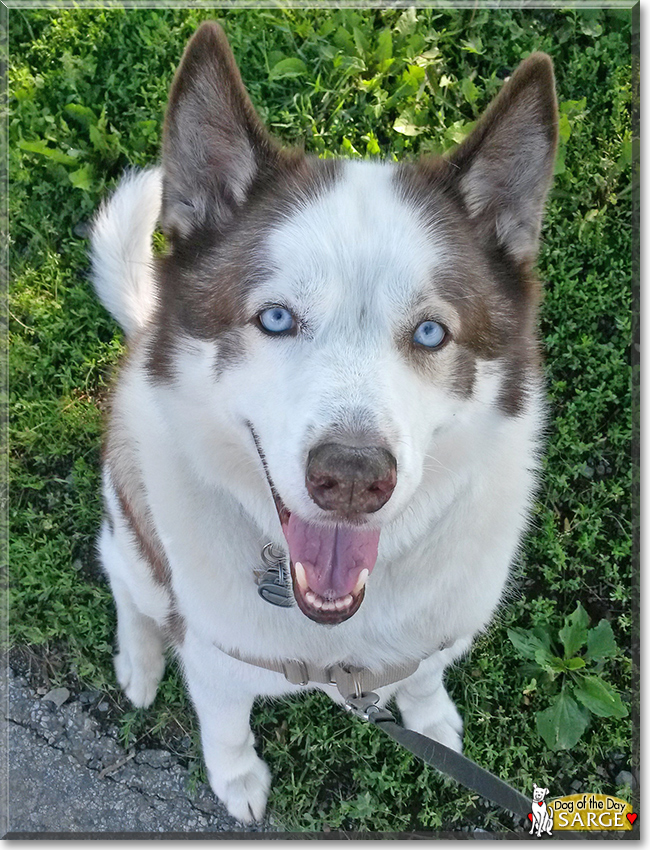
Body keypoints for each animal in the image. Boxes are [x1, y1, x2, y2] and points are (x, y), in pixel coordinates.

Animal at [90, 23, 556, 820]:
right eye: (276, 318)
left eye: (430, 333)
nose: (353, 475)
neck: (335, 639)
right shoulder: (216, 657)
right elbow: (225, 725)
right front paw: (237, 780)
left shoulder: (431, 636)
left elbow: (423, 676)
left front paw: (431, 719)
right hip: (138, 540)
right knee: (124, 578)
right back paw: (139, 662)